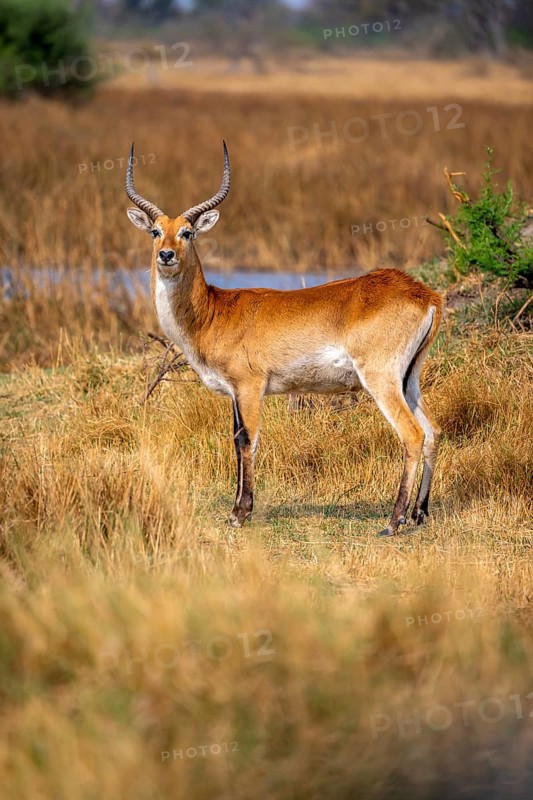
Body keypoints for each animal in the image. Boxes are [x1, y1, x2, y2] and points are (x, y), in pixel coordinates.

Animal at [125, 142, 443, 537]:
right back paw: (419, 513)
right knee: (433, 432)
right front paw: (236, 510)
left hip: (381, 378)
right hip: (409, 378)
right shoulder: (234, 393)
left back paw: (392, 521)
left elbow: (248, 440)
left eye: (187, 232)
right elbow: (236, 439)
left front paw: (240, 513)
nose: (166, 255)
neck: (213, 312)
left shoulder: (249, 387)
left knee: (412, 434)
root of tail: (424, 294)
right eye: (155, 231)